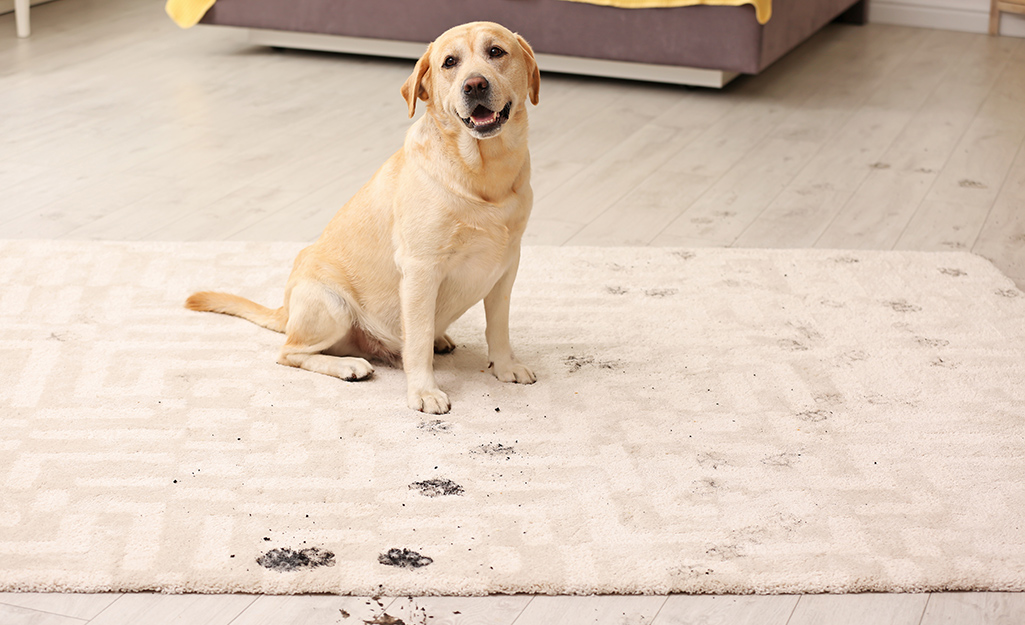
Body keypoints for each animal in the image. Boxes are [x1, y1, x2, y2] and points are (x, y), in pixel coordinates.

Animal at [183, 21, 541, 413]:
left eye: (496, 52)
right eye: (450, 62)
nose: (474, 84)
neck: (484, 175)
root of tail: (286, 310)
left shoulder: (507, 265)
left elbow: (499, 328)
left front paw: (505, 366)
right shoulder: (420, 270)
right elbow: (416, 344)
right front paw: (423, 391)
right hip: (332, 305)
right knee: (289, 352)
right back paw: (349, 366)